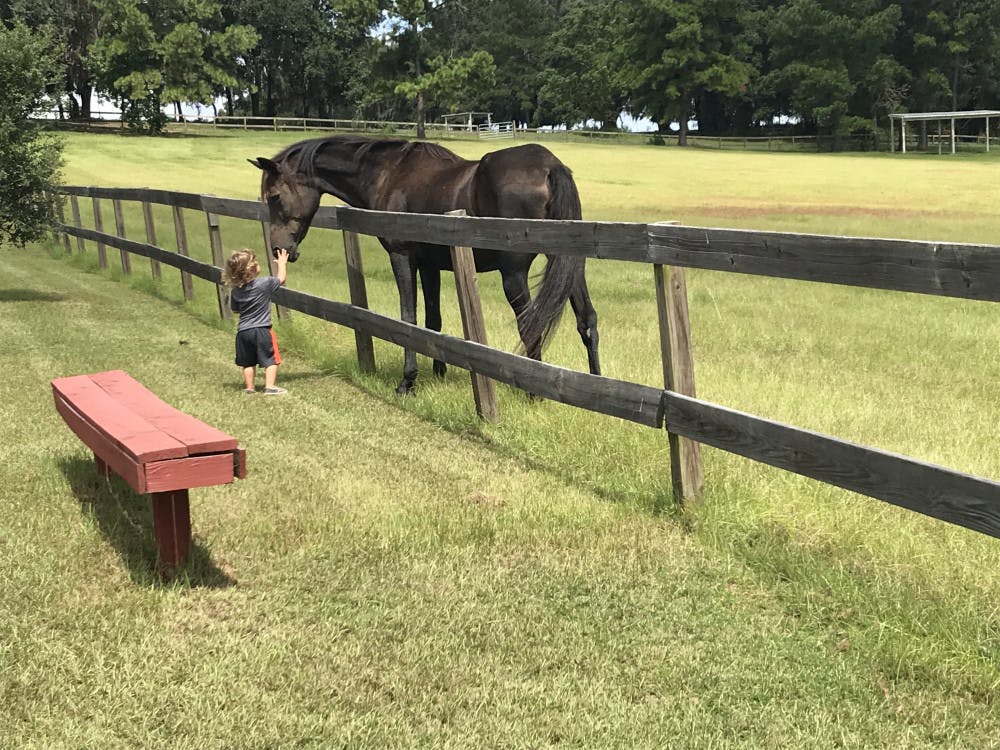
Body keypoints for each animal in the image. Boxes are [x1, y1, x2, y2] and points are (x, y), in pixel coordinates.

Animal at [249, 134, 600, 394]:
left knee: (530, 325)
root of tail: (550, 166)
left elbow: (410, 317)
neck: (388, 173)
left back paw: (532, 392)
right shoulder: (431, 266)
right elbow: (433, 319)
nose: (279, 248)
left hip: (513, 274)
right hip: (570, 267)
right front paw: (438, 370)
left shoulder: (402, 256)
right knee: (587, 320)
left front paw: (408, 380)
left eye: (274, 196)